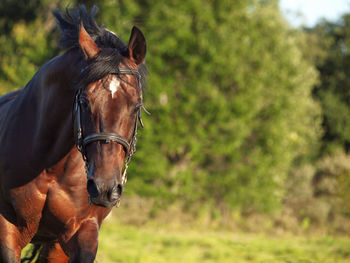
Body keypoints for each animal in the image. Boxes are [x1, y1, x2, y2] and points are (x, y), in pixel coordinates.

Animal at [0, 5, 146, 262]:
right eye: (85, 101)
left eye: (136, 106)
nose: (105, 188)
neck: (49, 164)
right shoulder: (8, 227)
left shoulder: (80, 232)